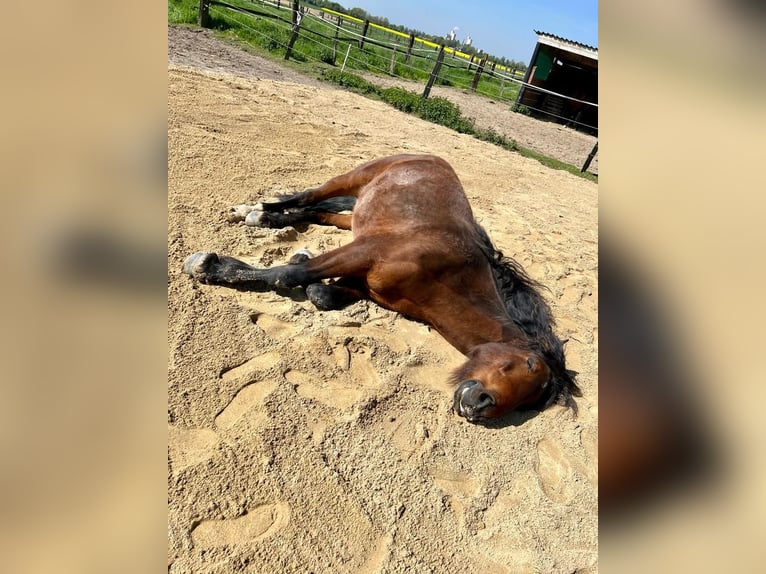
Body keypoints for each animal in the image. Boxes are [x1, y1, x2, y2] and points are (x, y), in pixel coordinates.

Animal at [184, 153, 584, 424]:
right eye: (530, 364)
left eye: (528, 403)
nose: (480, 408)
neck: (448, 275)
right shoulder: (364, 251)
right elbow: (288, 276)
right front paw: (209, 266)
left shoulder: (368, 282)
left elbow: (320, 294)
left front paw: (299, 256)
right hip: (352, 178)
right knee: (307, 196)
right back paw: (255, 210)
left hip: (354, 214)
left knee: (319, 213)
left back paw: (266, 218)